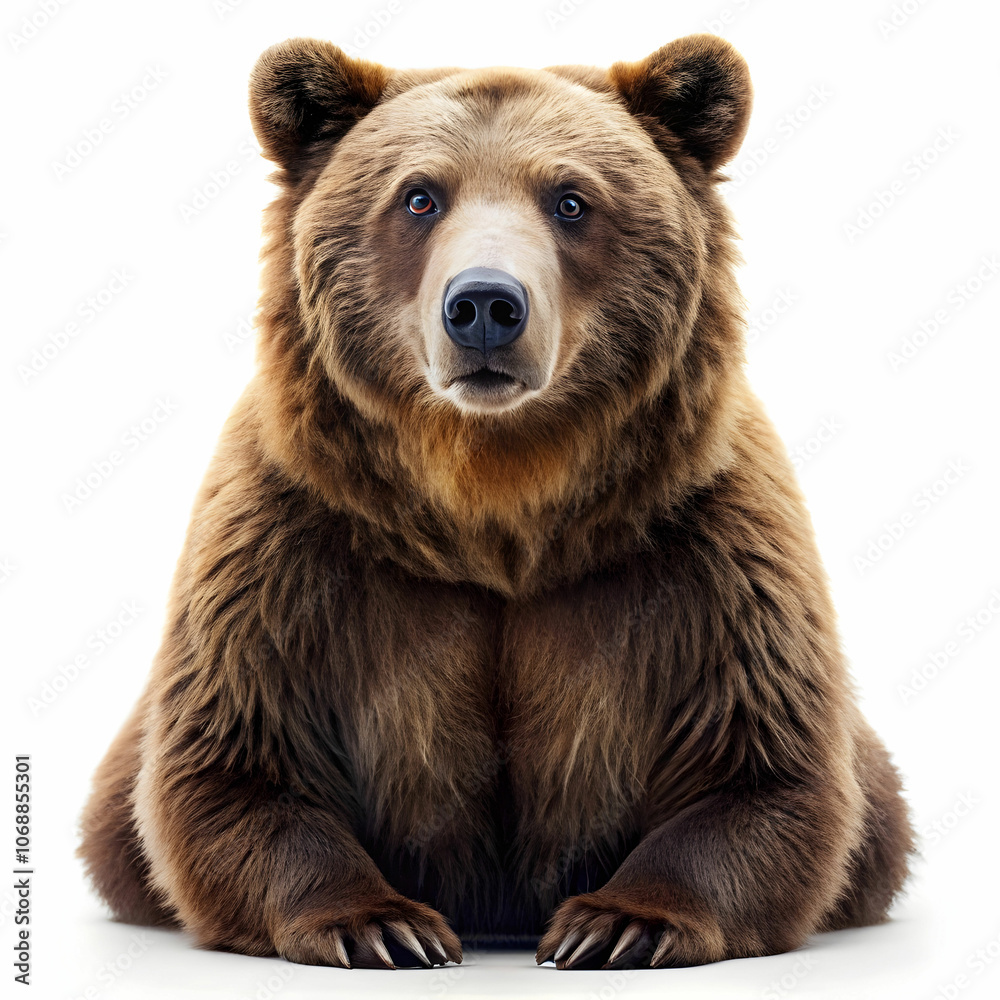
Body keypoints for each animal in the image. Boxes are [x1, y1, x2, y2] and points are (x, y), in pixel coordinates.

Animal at [78, 33, 916, 971]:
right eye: (418, 195)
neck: (497, 501)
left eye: (571, 199)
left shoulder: (708, 549)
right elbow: (231, 764)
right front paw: (385, 924)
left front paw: (615, 922)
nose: (484, 305)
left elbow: (766, 768)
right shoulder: (292, 541)